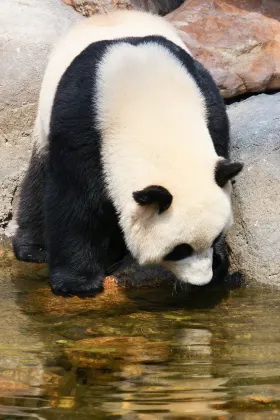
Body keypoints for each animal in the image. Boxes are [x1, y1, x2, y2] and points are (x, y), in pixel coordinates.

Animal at [13, 10, 243, 298]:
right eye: (180, 250)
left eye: (215, 237)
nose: (201, 280)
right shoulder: (83, 122)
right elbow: (74, 199)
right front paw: (77, 282)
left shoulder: (210, 108)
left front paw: (221, 266)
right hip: (45, 120)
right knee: (39, 178)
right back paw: (34, 248)